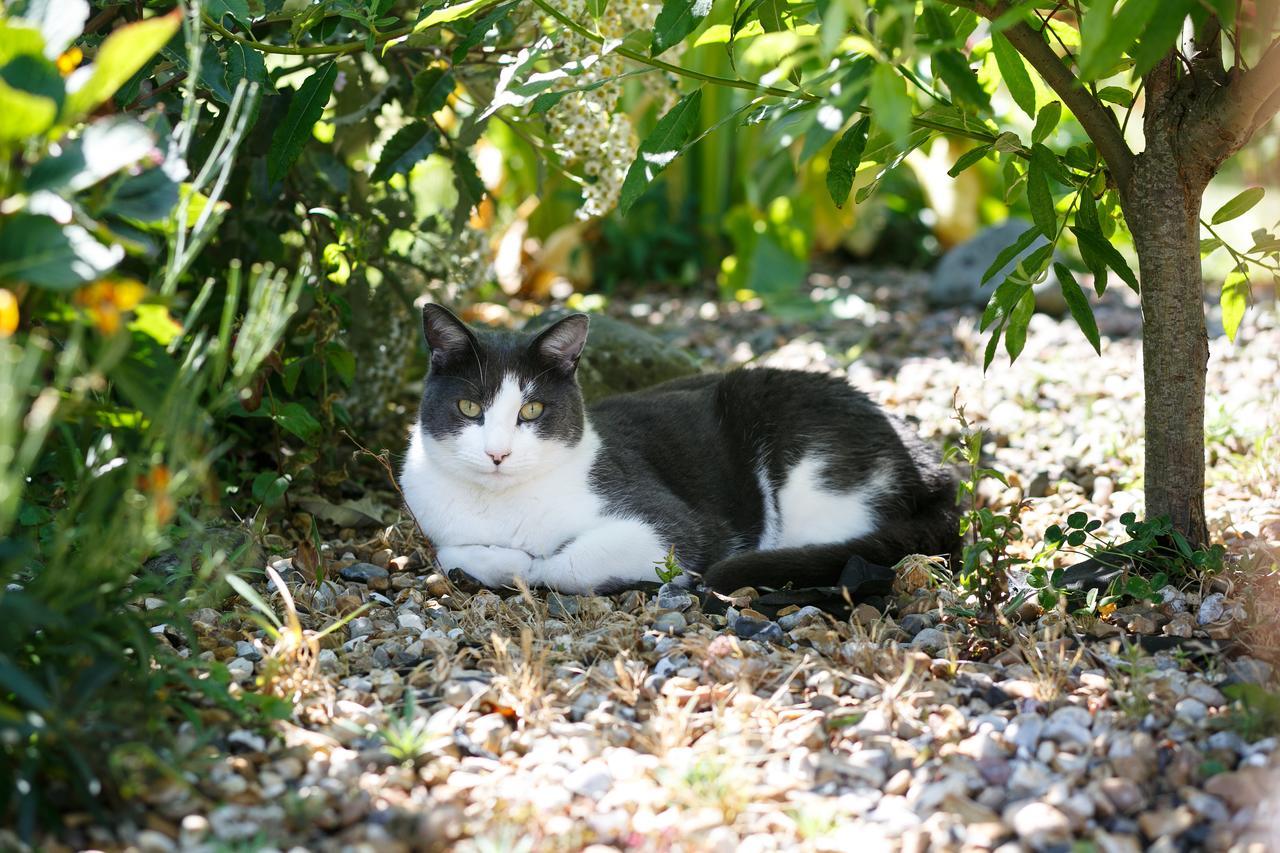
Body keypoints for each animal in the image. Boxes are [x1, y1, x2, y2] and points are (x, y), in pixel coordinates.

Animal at [399, 303, 962, 591]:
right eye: (469, 407)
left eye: (532, 411)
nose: (498, 454)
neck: (500, 505)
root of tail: (931, 463)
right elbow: (450, 550)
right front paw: (489, 560)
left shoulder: (675, 526)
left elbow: (564, 564)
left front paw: (516, 564)